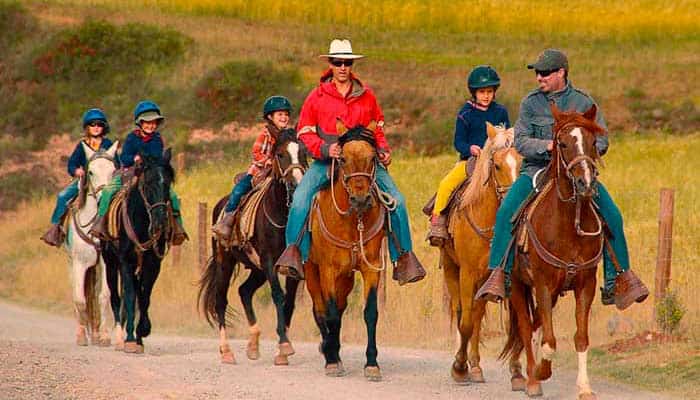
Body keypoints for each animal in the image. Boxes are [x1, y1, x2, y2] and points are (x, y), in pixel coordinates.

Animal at [64, 141, 117, 346]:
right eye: (91, 172)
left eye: (113, 170)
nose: (103, 197)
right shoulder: (79, 263)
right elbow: (80, 300)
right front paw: (81, 336)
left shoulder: (105, 264)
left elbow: (103, 296)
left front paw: (103, 336)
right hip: (72, 264)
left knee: (94, 295)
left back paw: (95, 333)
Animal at [104, 150, 176, 354]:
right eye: (148, 183)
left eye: (168, 183)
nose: (160, 222)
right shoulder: (126, 262)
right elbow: (129, 297)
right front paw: (129, 339)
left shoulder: (153, 264)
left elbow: (144, 297)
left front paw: (142, 332)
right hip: (110, 262)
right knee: (116, 297)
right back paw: (119, 337)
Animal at [197, 130, 306, 366]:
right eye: (280, 154)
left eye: (303, 152)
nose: (297, 184)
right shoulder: (269, 261)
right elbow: (278, 296)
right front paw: (284, 344)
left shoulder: (293, 267)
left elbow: (289, 302)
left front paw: (282, 350)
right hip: (225, 263)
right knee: (220, 301)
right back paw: (226, 351)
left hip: (257, 270)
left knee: (244, 291)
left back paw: (253, 345)